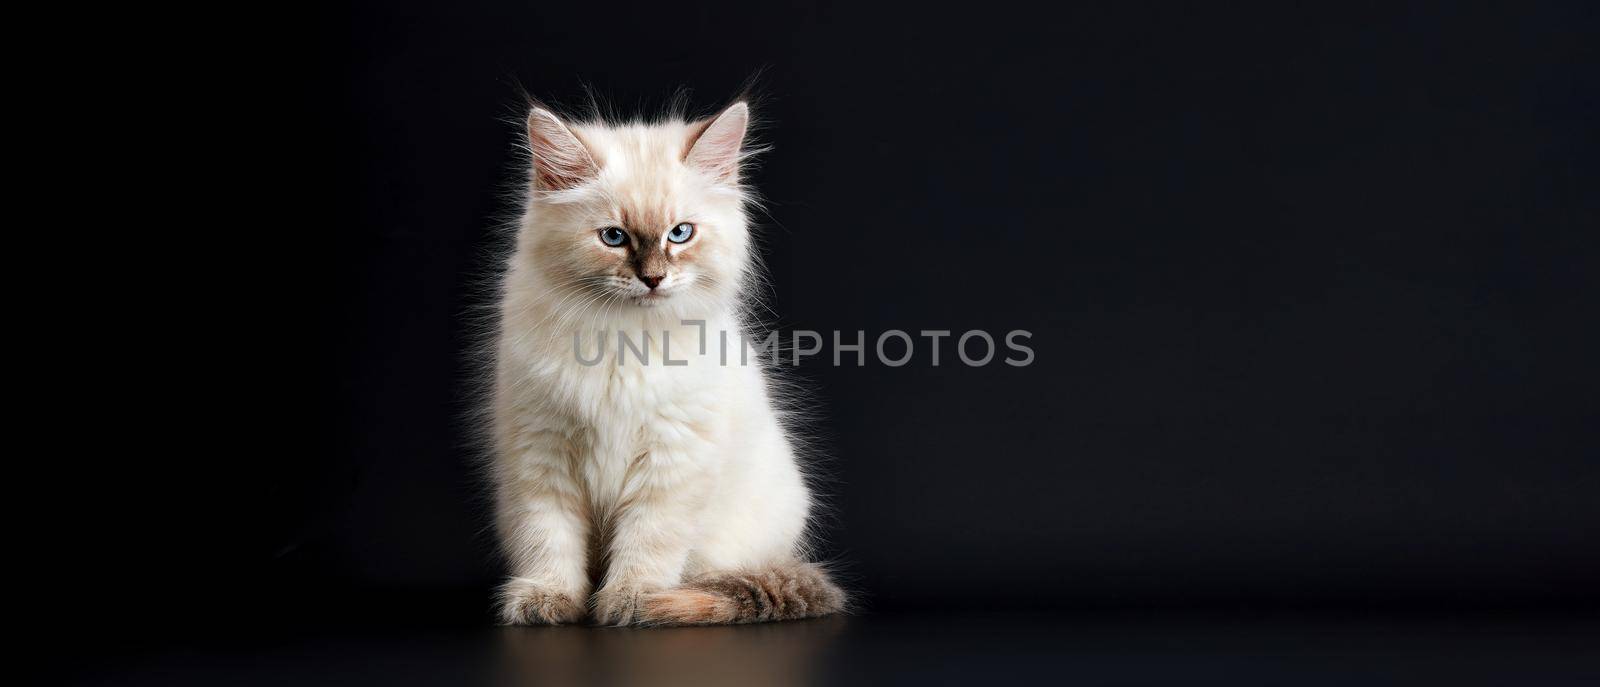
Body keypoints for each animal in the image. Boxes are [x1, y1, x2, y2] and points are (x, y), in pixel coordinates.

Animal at [486, 98, 844, 624]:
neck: (621, 340)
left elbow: (647, 541)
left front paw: (631, 600)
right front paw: (548, 599)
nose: (653, 279)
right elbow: (550, 539)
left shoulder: (671, 458)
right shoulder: (543, 453)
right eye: (614, 237)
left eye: (680, 233)